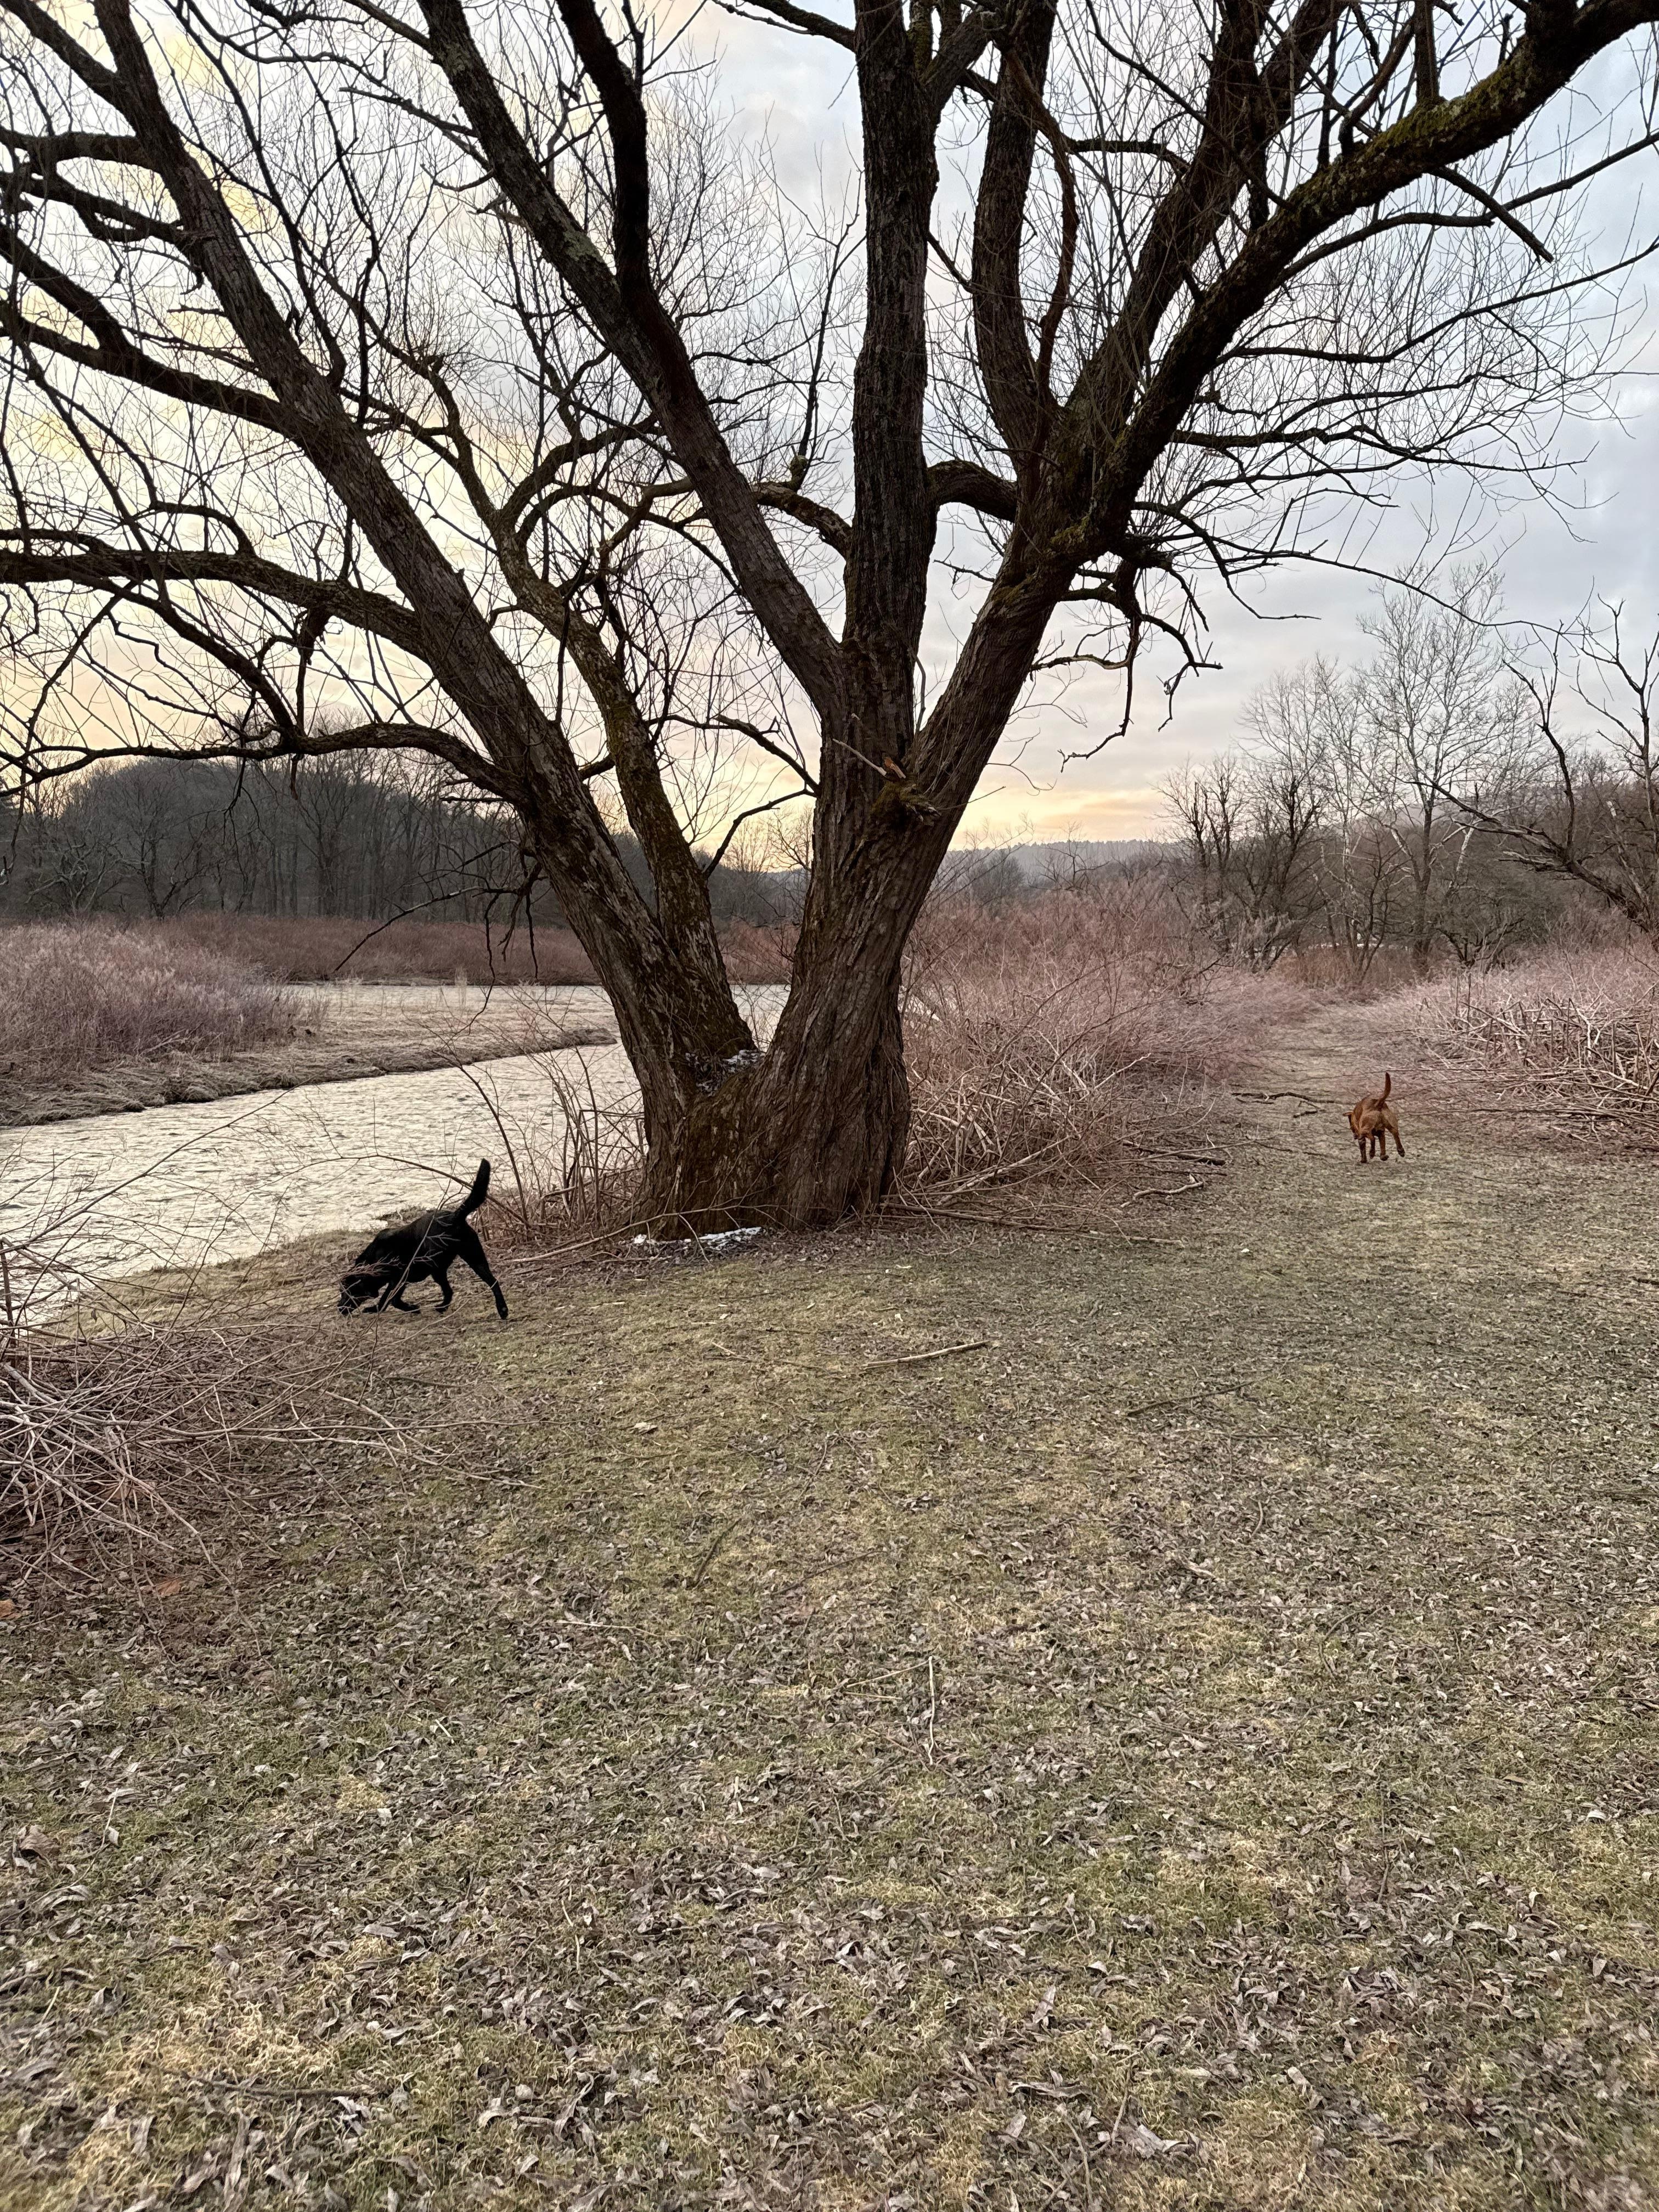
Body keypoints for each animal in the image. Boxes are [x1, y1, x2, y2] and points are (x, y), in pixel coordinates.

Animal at [338, 1159, 509, 1319]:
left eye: (345, 1291)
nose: (339, 1308)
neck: (375, 1258)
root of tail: (453, 1217)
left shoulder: (399, 1279)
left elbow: (389, 1300)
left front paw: (409, 1308)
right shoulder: (400, 1281)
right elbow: (390, 1299)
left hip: (436, 1266)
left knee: (451, 1289)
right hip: (474, 1258)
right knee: (489, 1282)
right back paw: (499, 1309)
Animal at [1347, 1072, 1405, 1163]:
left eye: (1351, 1128)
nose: (1354, 1136)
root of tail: (1378, 1103)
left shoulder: (1362, 1138)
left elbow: (1363, 1151)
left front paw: (1363, 1160)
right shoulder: (1381, 1133)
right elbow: (1383, 1145)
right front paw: (1383, 1156)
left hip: (1365, 1130)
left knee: (1373, 1139)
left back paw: (1372, 1153)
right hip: (1391, 1124)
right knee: (1395, 1133)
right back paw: (1401, 1151)